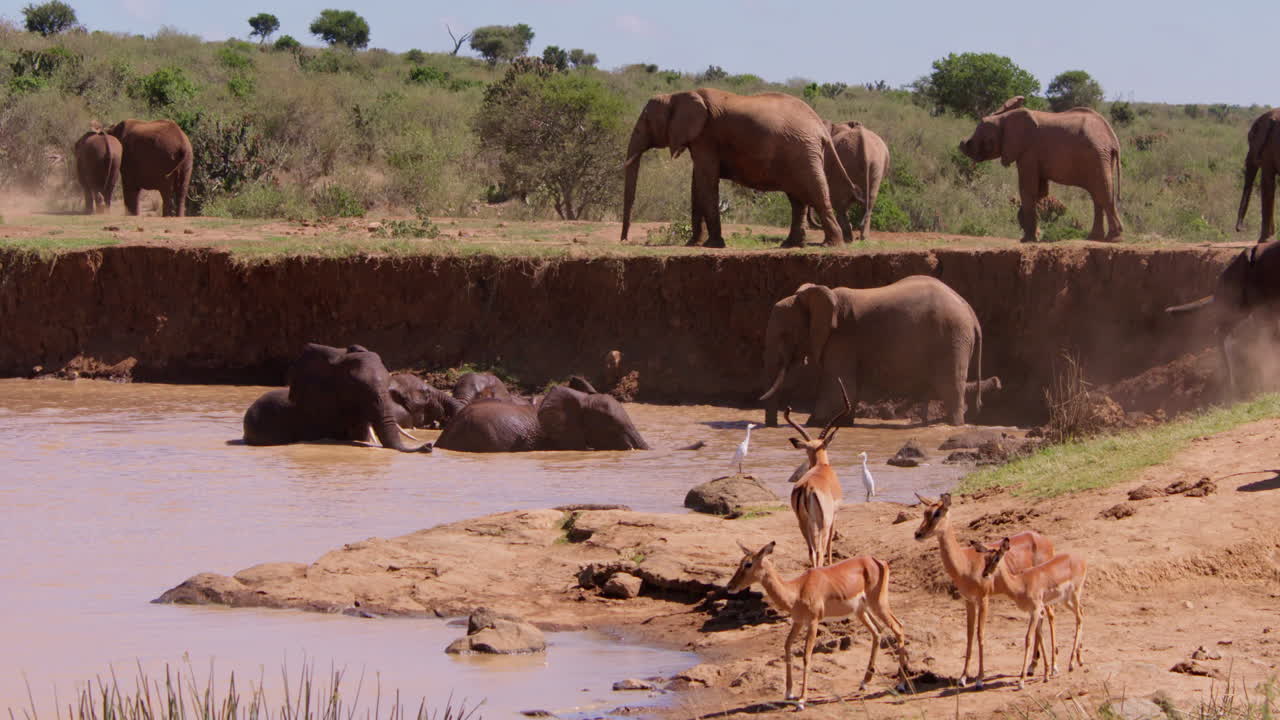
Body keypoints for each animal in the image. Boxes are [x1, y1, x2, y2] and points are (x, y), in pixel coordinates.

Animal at [621, 87, 857, 249]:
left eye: (645, 121)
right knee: (797, 199)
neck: (678, 95)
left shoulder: (706, 138)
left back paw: (831, 245)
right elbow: (697, 184)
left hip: (802, 153)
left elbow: (706, 182)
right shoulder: (701, 140)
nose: (624, 240)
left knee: (814, 192)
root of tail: (820, 127)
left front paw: (713, 245)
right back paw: (790, 245)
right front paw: (693, 244)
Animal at [760, 277, 984, 428]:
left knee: (949, 386)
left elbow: (838, 386)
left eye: (784, 334)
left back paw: (953, 425)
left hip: (952, 338)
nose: (772, 425)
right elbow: (848, 389)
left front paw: (813, 423)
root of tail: (971, 312)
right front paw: (843, 422)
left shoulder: (843, 338)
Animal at [959, 96, 1122, 243]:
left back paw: (1113, 238)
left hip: (1097, 156)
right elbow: (1040, 192)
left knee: (1102, 191)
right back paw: (1095, 238)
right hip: (1102, 158)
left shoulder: (1028, 152)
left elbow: (1027, 189)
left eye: (981, 134)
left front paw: (1027, 239)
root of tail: (1113, 139)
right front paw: (1033, 235)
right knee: (1097, 195)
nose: (961, 144)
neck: (1004, 118)